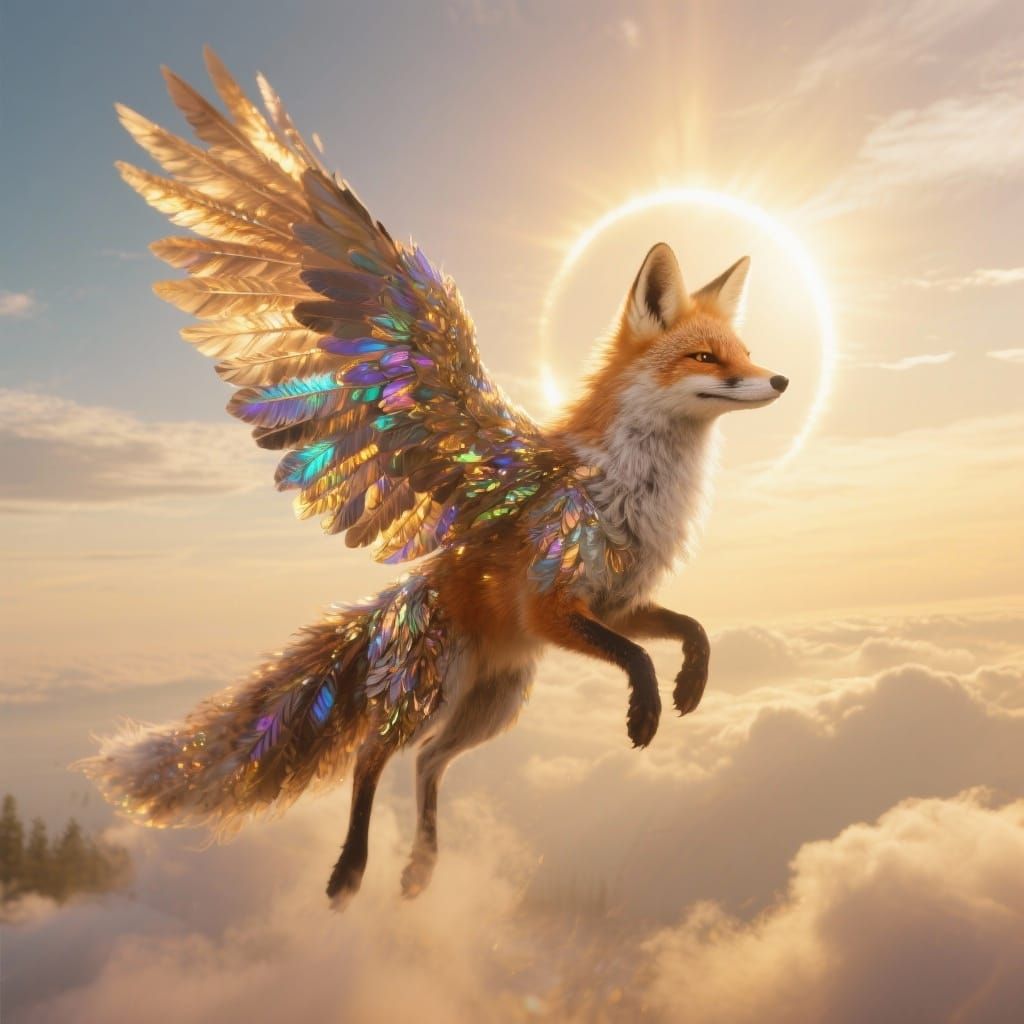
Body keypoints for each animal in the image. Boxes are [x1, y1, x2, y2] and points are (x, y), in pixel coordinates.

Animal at [78, 48, 788, 907]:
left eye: (743, 351)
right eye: (707, 357)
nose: (781, 379)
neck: (634, 484)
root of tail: (408, 596)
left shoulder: (619, 601)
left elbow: (690, 629)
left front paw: (691, 685)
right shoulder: (556, 605)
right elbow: (637, 656)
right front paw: (649, 706)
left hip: (495, 703)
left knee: (427, 763)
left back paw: (420, 868)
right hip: (433, 690)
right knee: (371, 756)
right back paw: (350, 871)